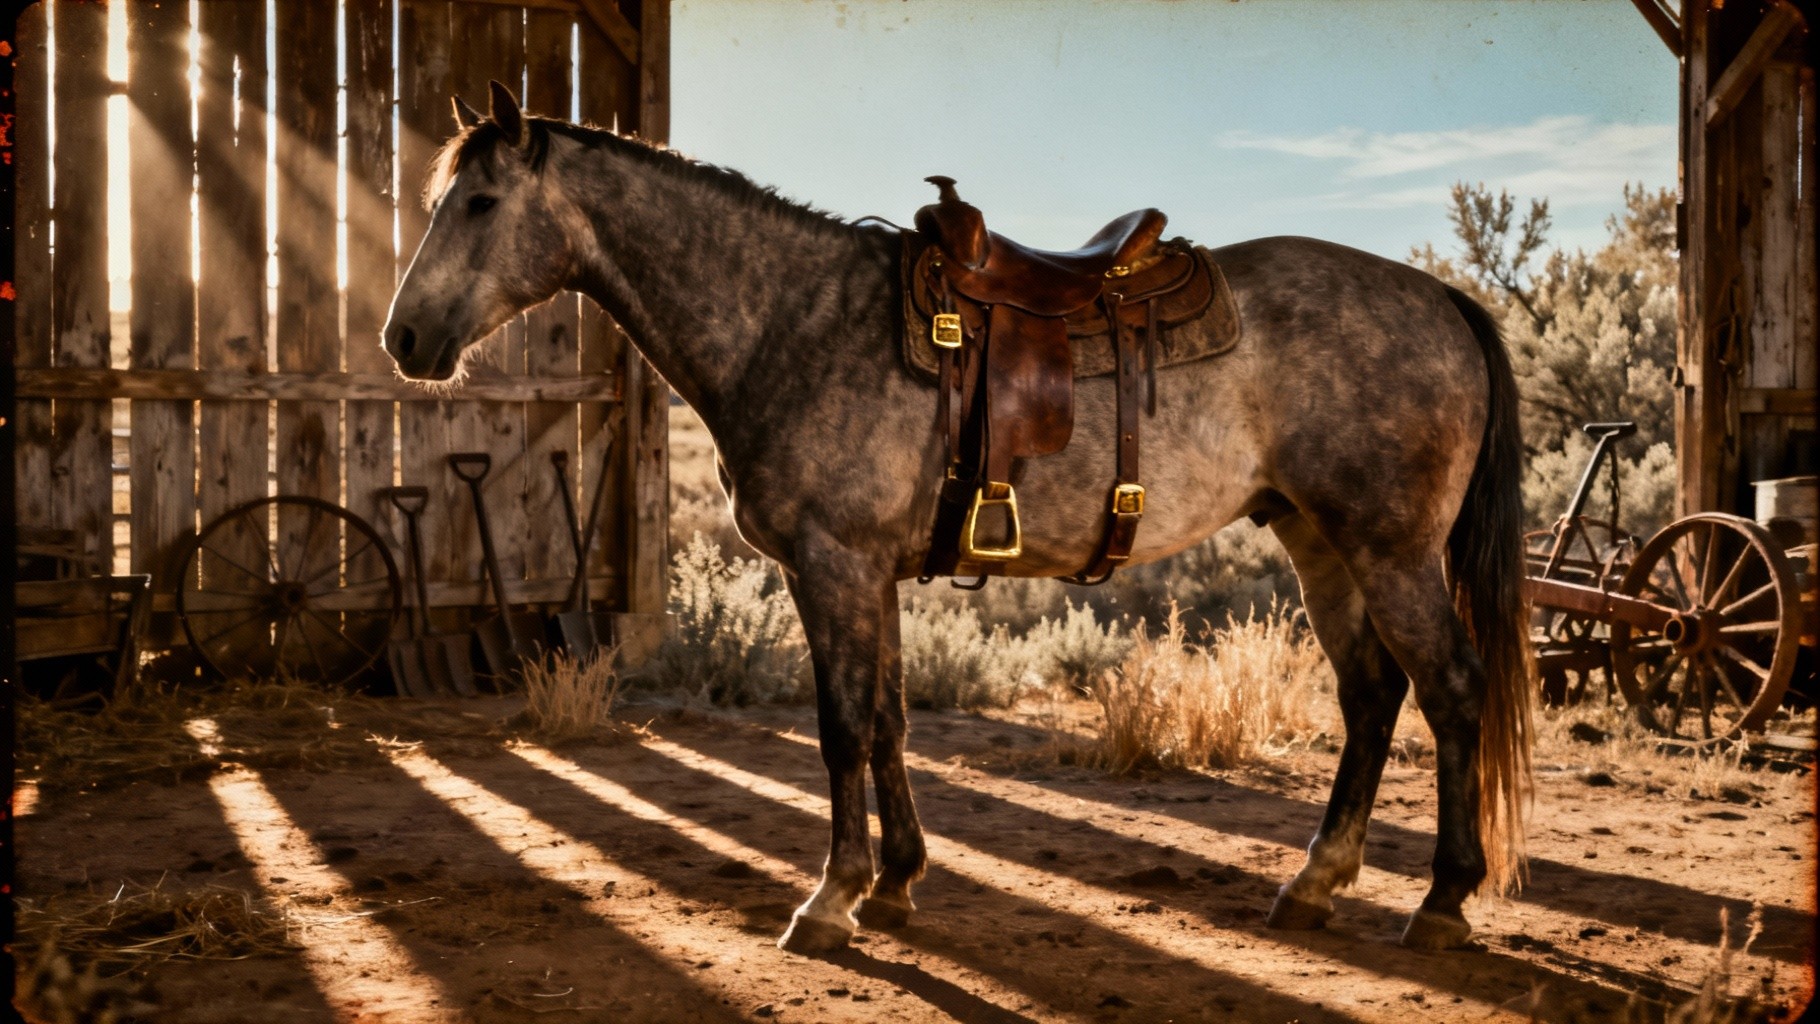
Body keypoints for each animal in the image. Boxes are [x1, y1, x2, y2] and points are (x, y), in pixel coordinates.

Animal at [382, 82, 1533, 956]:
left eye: (479, 202)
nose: (403, 338)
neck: (791, 321)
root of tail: (1441, 299)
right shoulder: (871, 574)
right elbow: (889, 718)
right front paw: (895, 882)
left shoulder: (832, 565)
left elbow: (843, 727)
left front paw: (831, 899)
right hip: (1320, 541)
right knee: (1373, 695)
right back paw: (1314, 883)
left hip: (1391, 552)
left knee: (1451, 690)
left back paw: (1441, 902)